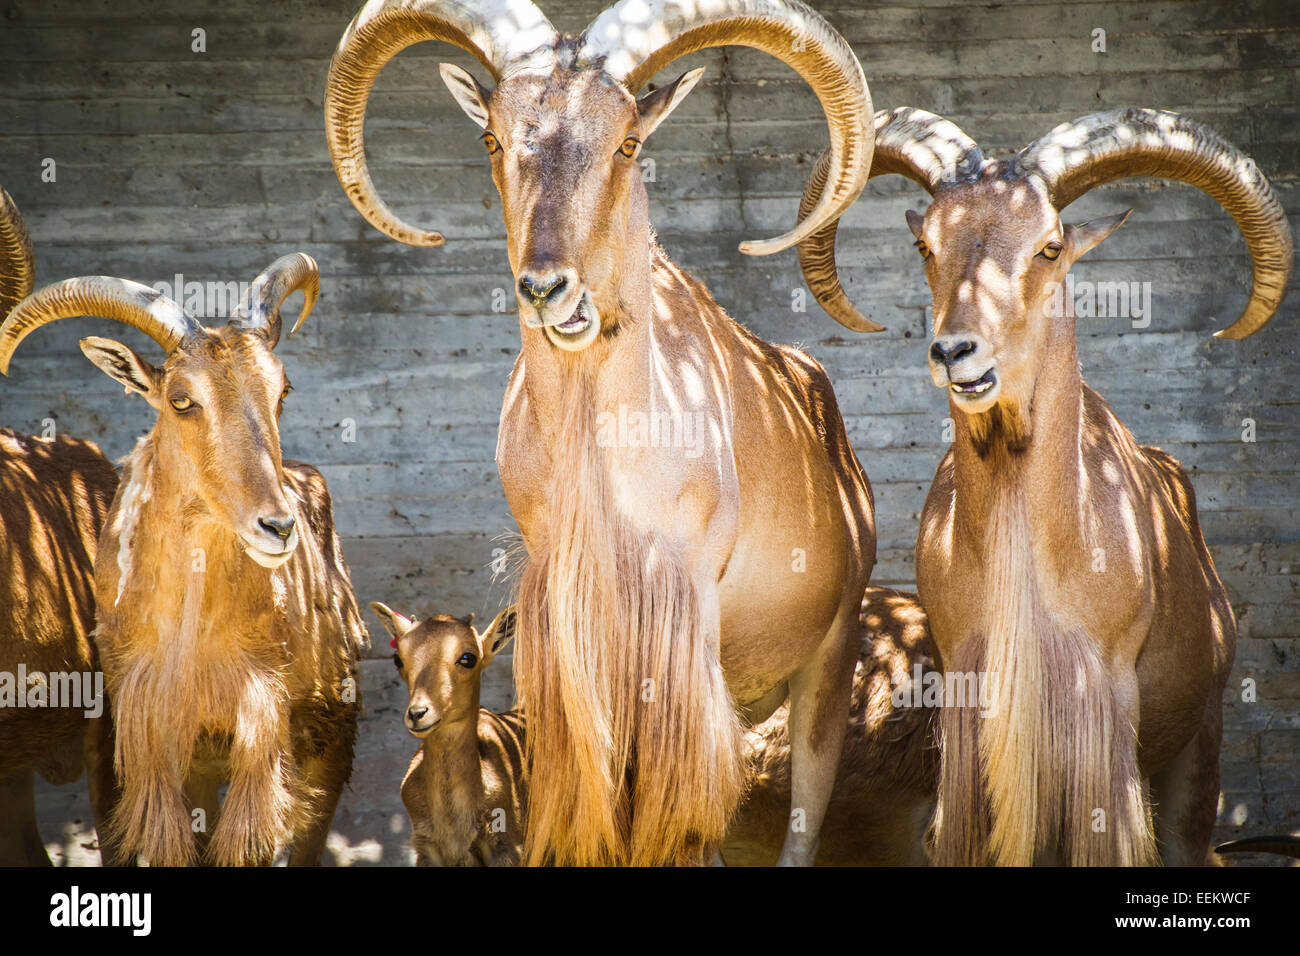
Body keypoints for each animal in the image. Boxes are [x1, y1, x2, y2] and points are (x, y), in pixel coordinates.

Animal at [0, 254, 368, 866]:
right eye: (181, 399)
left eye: (282, 391)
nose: (277, 526)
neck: (193, 639)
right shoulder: (152, 746)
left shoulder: (260, 740)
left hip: (331, 731)